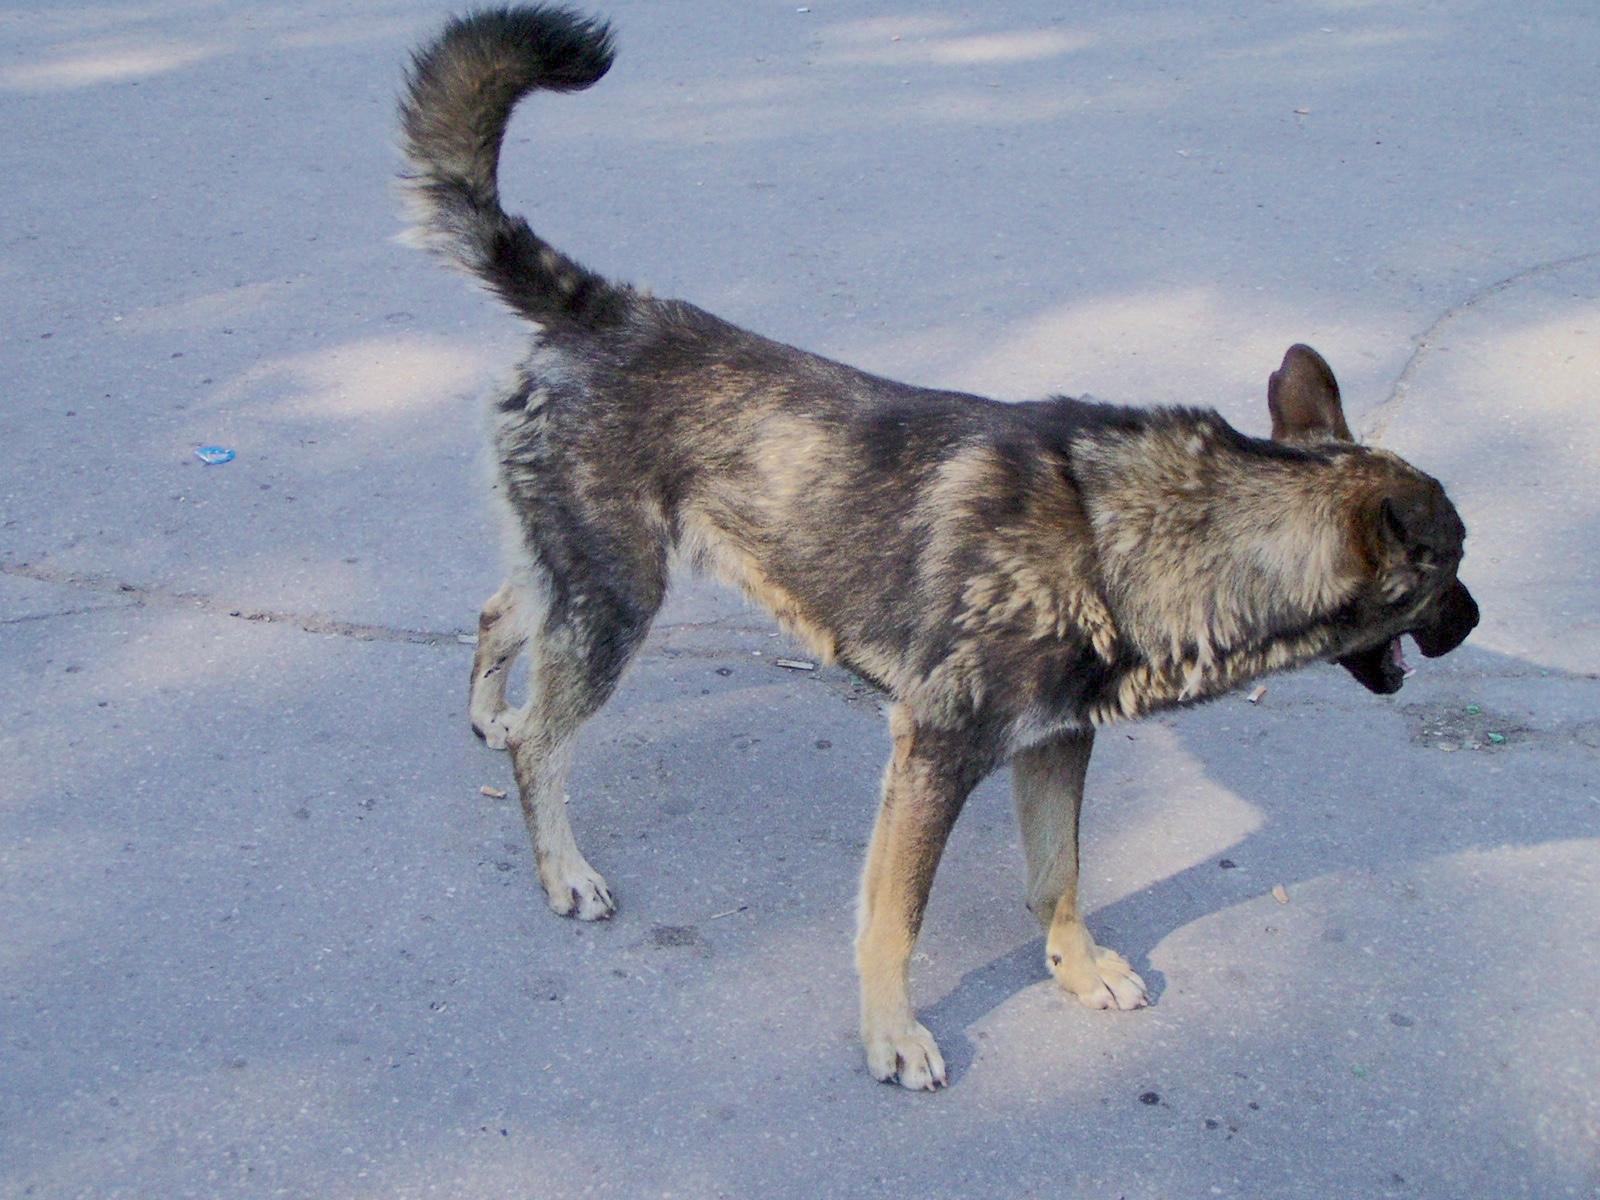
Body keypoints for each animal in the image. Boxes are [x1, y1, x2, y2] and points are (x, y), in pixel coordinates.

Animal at [396, 7, 1472, 1088]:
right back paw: (562, 866)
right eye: (1454, 567)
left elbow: (1060, 878)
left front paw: (1075, 969)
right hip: (618, 602)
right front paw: (891, 1032)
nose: (1471, 622)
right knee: (544, 742)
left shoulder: (1056, 746)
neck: (1137, 535)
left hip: (586, 577)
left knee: (501, 616)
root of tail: (603, 305)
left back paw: (490, 714)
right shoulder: (932, 757)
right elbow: (894, 920)